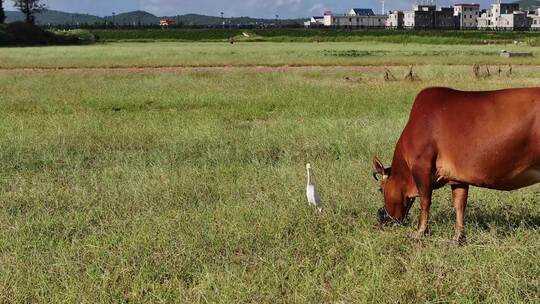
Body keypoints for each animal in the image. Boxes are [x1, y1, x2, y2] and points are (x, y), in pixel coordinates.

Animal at [374, 86, 540, 243]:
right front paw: (458, 237)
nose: (381, 217)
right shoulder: (457, 178)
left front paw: (420, 232)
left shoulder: (422, 167)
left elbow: (425, 202)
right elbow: (459, 205)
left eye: (380, 189)